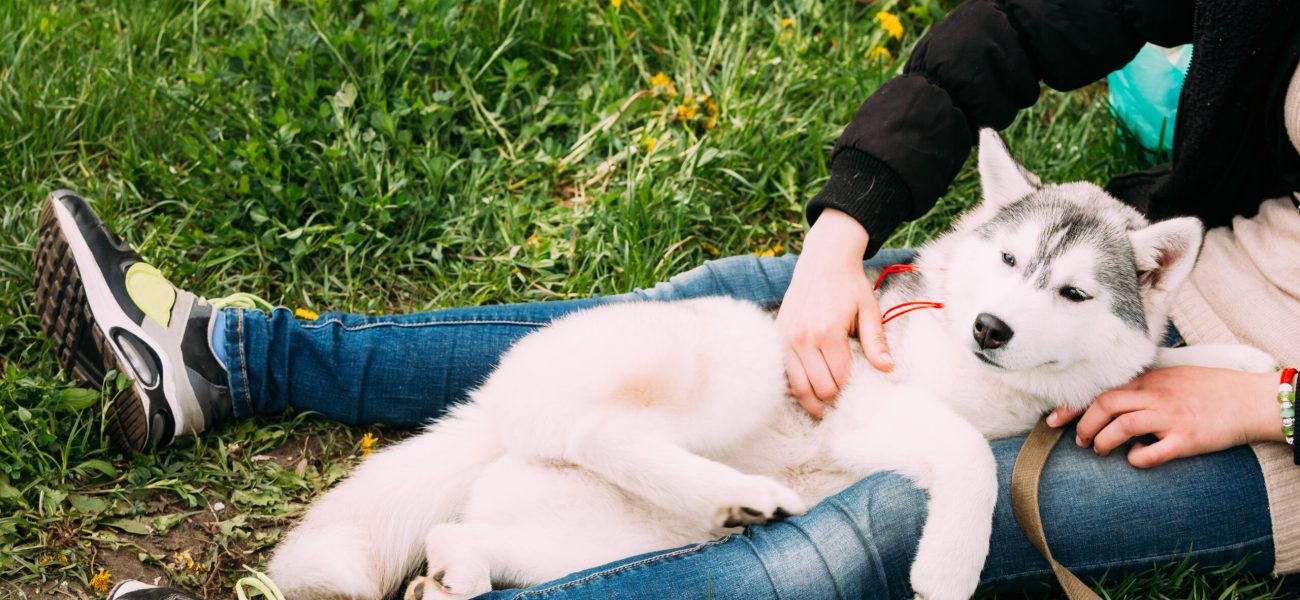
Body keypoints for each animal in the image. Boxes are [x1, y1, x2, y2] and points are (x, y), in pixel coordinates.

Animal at [266, 132, 1279, 600]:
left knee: (464, 537)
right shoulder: (878, 405)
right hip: (739, 361)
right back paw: (736, 494)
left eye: (1070, 292)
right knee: (602, 432)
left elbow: (1179, 358)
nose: (991, 327)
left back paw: (459, 572)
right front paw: (950, 569)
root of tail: (489, 405)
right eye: (1004, 261)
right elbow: (968, 462)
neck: (1008, 390)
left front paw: (1242, 367)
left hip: (584, 538)